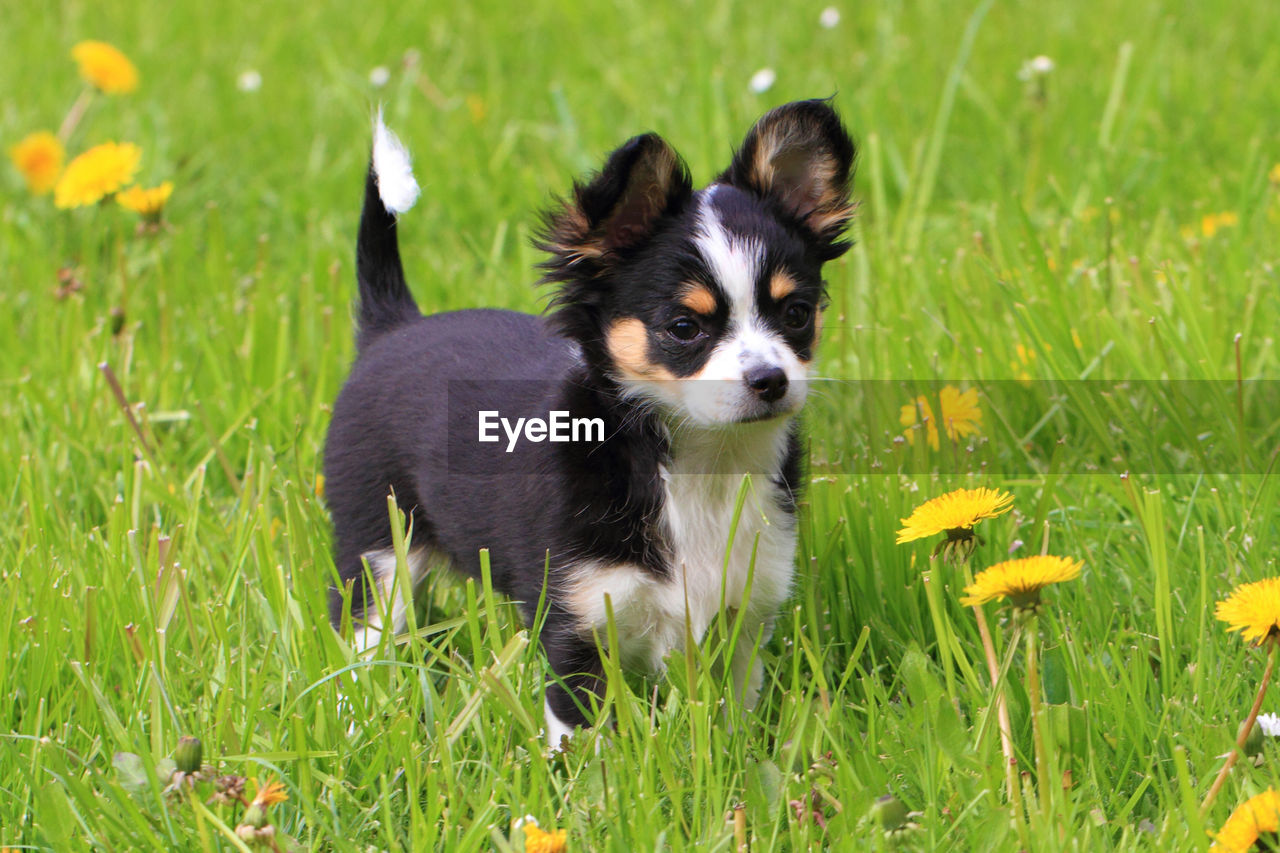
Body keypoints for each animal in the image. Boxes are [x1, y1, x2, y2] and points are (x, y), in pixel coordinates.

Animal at [325, 99, 855, 742]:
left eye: (797, 313)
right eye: (684, 328)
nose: (770, 380)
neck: (701, 466)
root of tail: (393, 326)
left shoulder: (742, 618)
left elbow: (732, 723)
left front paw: (739, 759)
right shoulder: (576, 627)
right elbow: (584, 740)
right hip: (377, 549)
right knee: (361, 639)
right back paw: (353, 719)